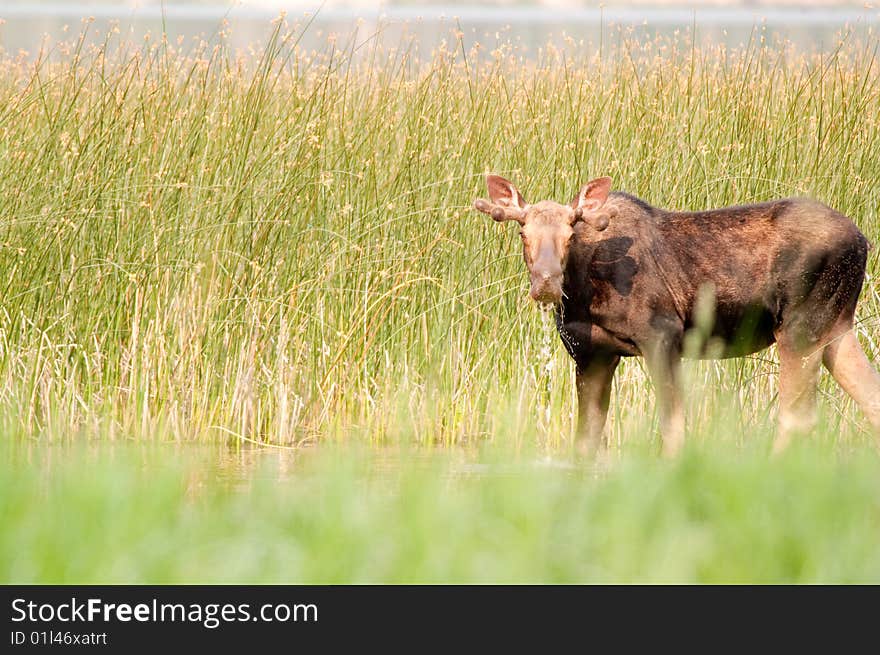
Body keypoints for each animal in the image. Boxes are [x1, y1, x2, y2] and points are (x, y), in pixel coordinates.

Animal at [474, 174, 880, 456]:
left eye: (571, 235)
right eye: (523, 233)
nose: (546, 282)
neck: (584, 294)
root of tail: (864, 241)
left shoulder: (662, 334)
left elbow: (673, 427)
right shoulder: (591, 354)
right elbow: (586, 439)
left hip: (800, 327)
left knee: (797, 418)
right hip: (836, 326)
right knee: (869, 398)